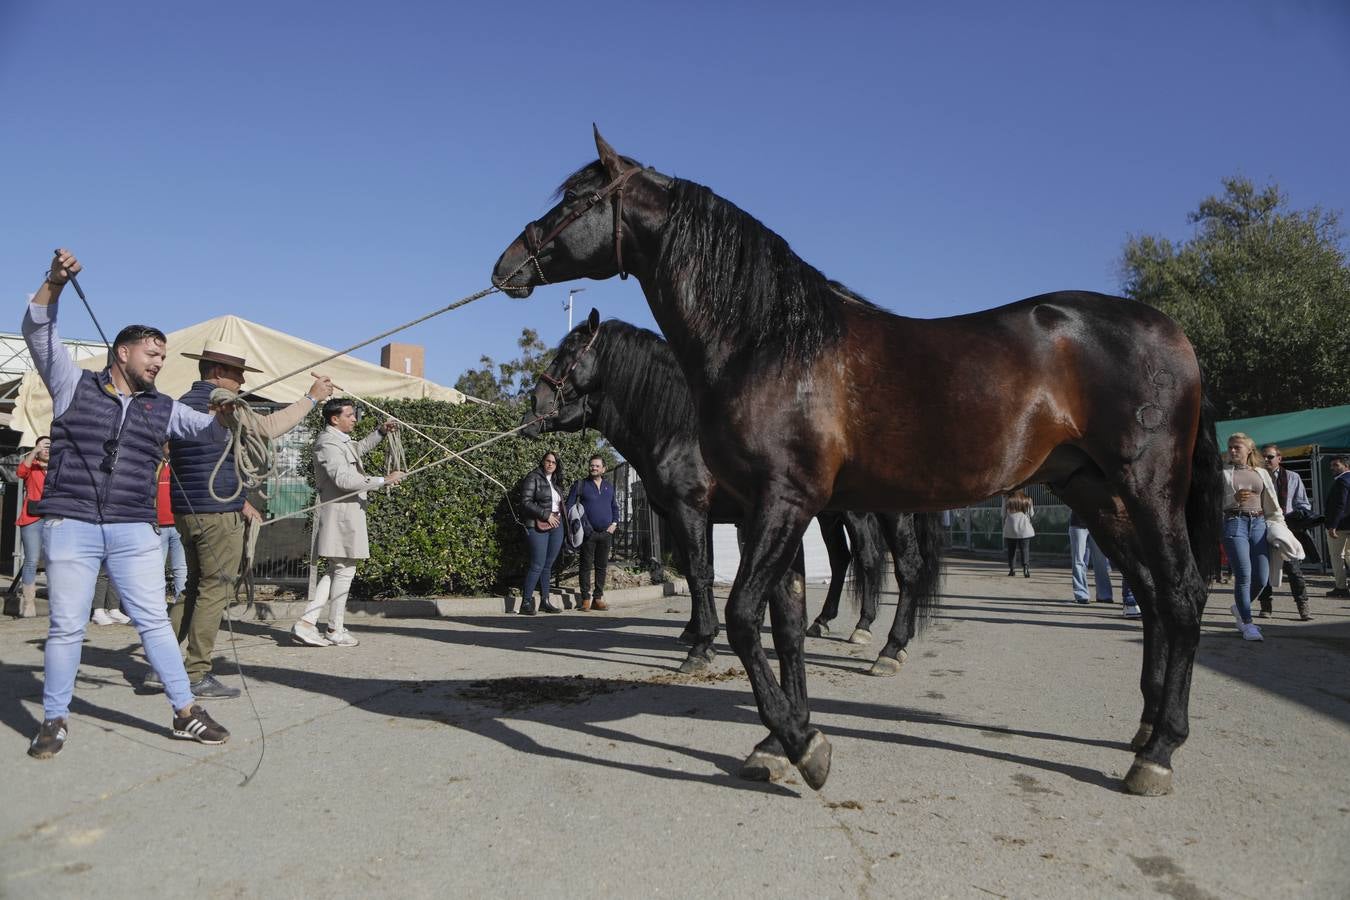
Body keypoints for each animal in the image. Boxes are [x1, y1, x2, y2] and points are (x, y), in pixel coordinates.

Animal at [521, 312, 944, 677]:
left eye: (568, 352)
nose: (532, 407)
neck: (681, 427)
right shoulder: (695, 516)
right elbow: (698, 571)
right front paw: (695, 632)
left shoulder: (689, 510)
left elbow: (700, 571)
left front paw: (700, 647)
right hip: (830, 515)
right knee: (845, 559)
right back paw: (830, 623)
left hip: (880, 512)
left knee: (897, 564)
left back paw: (887, 647)